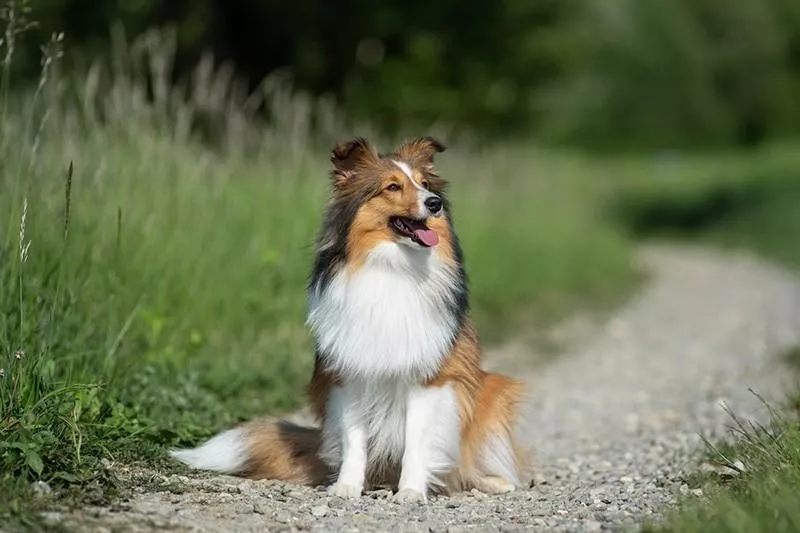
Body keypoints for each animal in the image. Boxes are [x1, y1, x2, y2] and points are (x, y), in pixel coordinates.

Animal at [171, 135, 528, 500]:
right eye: (392, 187)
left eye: (425, 184)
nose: (435, 203)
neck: (392, 267)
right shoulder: (348, 374)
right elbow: (354, 439)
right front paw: (346, 486)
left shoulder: (429, 378)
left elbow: (417, 442)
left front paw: (411, 491)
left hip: (494, 391)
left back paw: (491, 482)